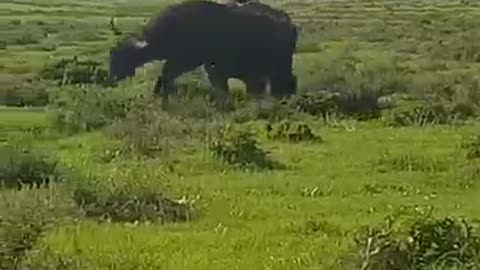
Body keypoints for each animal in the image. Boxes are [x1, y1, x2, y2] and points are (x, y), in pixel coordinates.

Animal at [109, 0, 298, 107]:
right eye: (113, 54)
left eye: (122, 56)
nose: (112, 76)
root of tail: (289, 23)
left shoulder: (187, 61)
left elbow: (165, 76)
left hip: (279, 69)